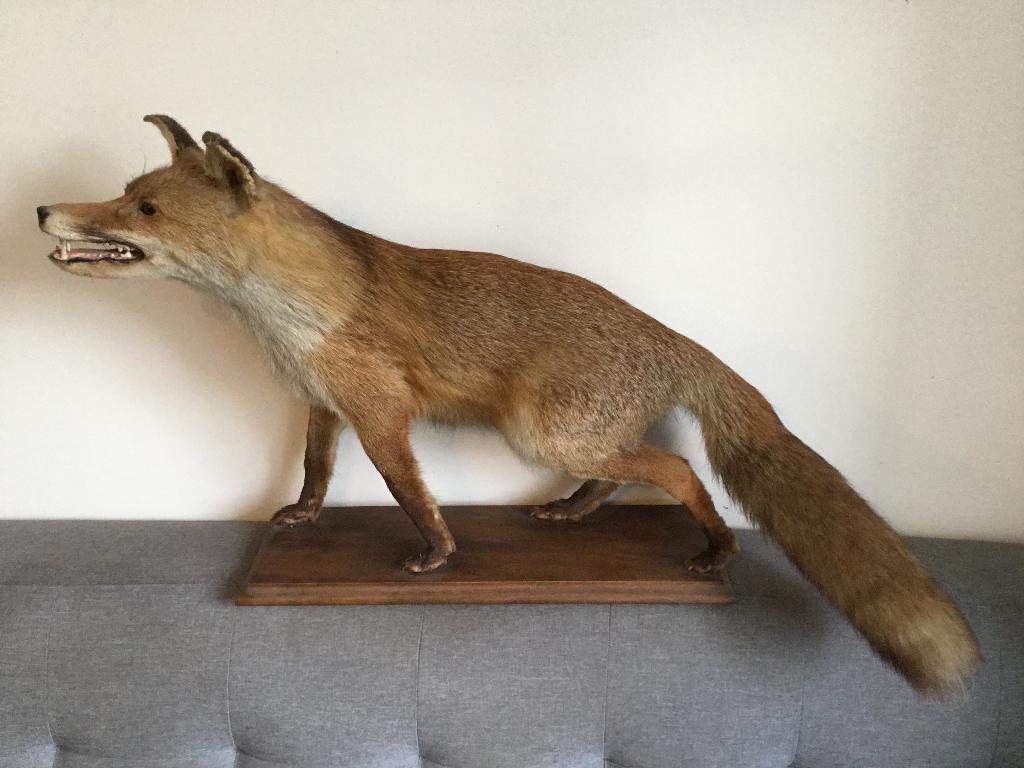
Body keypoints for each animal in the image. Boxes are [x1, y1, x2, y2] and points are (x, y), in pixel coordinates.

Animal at [37, 114, 979, 695]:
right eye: (123, 193)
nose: (44, 209)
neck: (286, 313)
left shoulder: (381, 412)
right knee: (628, 473)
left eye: (143, 207)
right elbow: (313, 470)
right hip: (571, 441)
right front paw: (302, 518)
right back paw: (572, 515)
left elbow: (406, 490)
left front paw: (437, 554)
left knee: (676, 467)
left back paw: (714, 549)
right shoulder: (324, 403)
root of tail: (669, 334)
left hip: (545, 434)